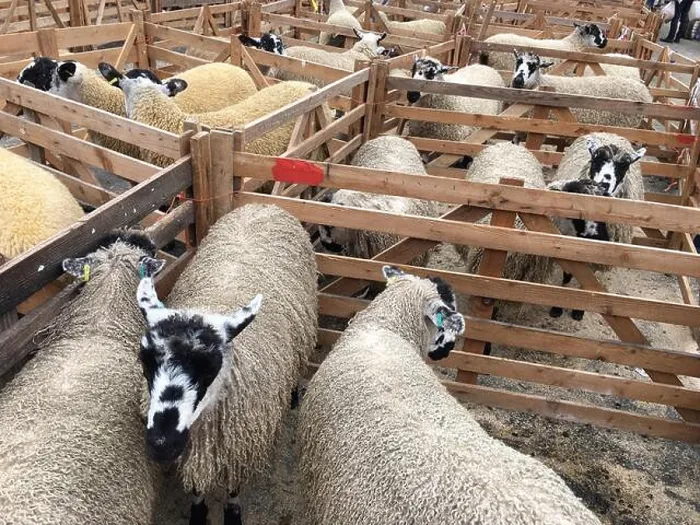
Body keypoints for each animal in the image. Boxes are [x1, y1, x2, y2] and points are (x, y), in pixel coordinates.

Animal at [135, 204, 317, 525]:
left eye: (210, 366)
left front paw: (232, 514)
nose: (162, 444)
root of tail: (264, 206)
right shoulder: (196, 450)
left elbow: (233, 487)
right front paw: (198, 512)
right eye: (144, 360)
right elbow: (197, 489)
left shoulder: (239, 445)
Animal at [547, 132, 645, 320]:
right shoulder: (566, 243)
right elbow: (568, 274)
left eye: (625, 165)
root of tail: (610, 133)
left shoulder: (598, 252)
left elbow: (588, 279)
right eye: (595, 159)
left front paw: (579, 310)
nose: (604, 184)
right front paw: (557, 307)